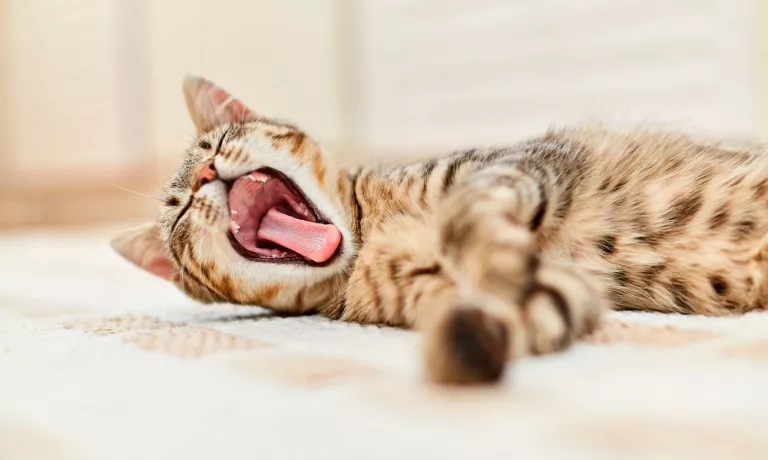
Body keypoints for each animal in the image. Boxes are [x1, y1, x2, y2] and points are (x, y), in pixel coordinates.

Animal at [111, 76, 768, 384]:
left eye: (217, 141)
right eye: (177, 214)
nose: (203, 174)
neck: (368, 240)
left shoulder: (511, 165)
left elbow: (463, 214)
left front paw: (492, 256)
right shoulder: (557, 292)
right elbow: (511, 317)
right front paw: (475, 335)